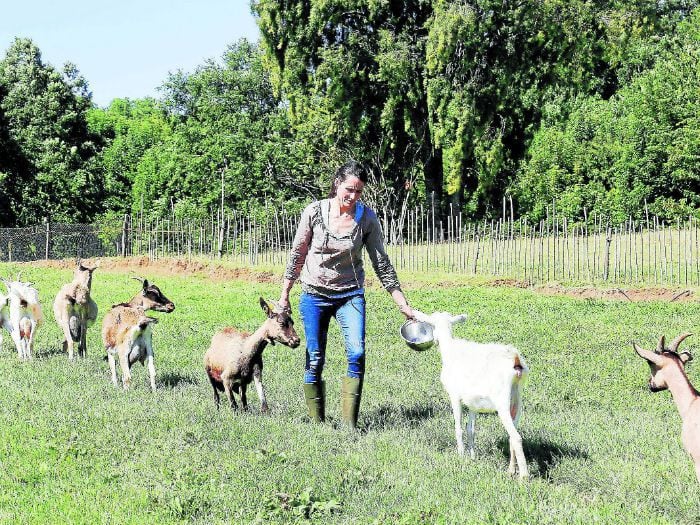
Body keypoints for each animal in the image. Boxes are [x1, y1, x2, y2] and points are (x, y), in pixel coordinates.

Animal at [410, 310, 532, 482]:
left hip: (502, 402)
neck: (450, 350)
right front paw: (472, 457)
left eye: (431, 324)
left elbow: (459, 428)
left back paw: (523, 477)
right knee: (511, 436)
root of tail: (515, 360)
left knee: (516, 437)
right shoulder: (473, 404)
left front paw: (460, 456)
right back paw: (510, 471)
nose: (435, 341)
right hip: (517, 401)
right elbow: (471, 430)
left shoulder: (455, 396)